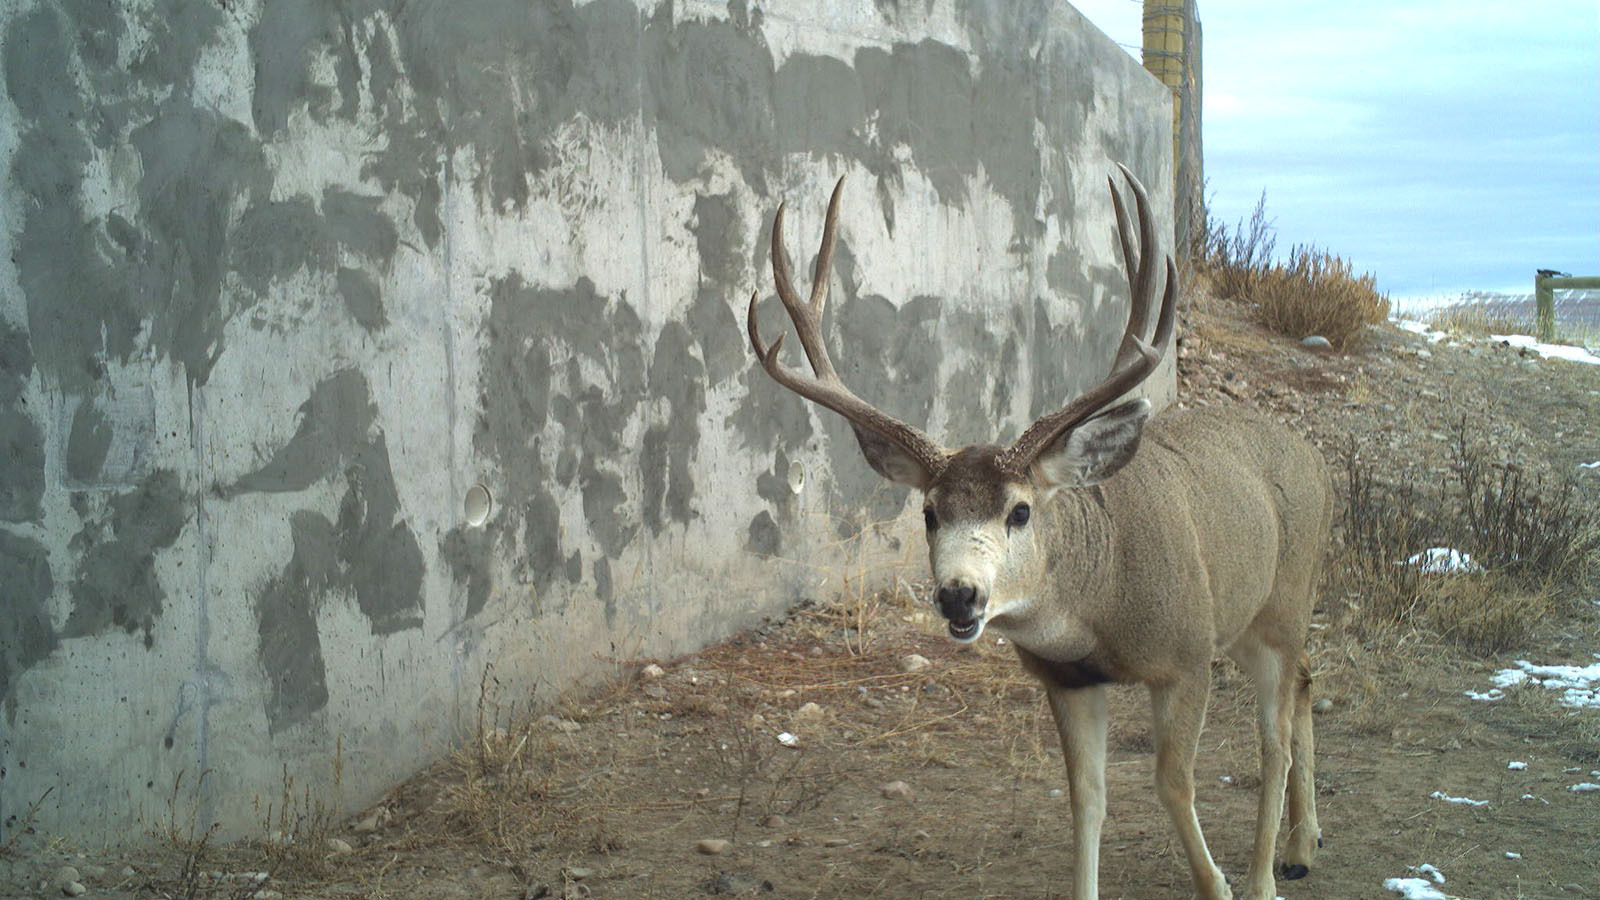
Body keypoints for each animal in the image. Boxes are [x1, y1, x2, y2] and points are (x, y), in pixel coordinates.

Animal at [743, 167, 1332, 900]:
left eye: (1020, 511)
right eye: (929, 513)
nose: (959, 594)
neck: (1099, 604)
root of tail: (1314, 457)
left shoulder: (1187, 653)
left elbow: (1172, 784)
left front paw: (1217, 884)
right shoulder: (1067, 680)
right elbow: (1087, 799)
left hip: (1283, 600)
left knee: (1274, 737)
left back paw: (1262, 876)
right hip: (1253, 618)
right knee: (1306, 685)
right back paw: (1301, 845)